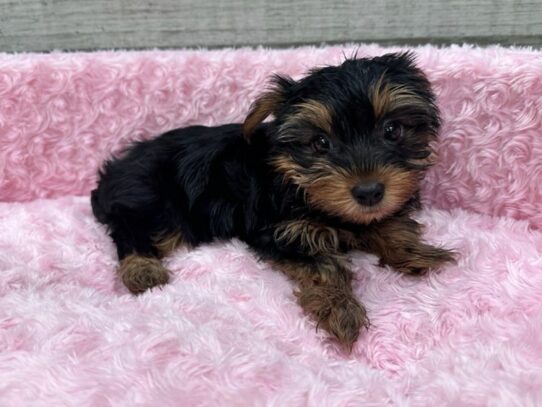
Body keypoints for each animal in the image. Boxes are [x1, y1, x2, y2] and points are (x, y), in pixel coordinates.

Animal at [91, 52, 456, 350]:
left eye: (392, 131)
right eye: (320, 143)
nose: (368, 191)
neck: (300, 185)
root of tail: (113, 172)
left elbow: (389, 223)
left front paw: (418, 252)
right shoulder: (280, 232)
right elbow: (323, 265)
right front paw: (340, 308)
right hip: (157, 203)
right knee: (130, 229)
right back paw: (142, 269)